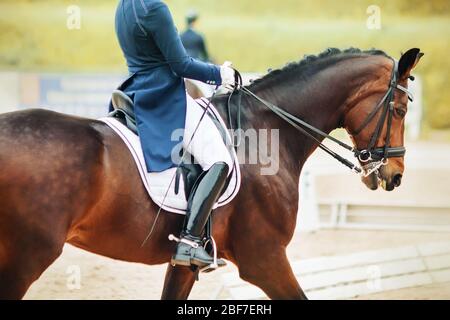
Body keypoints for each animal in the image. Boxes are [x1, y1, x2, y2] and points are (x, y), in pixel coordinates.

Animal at [0, 47, 422, 300]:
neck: (266, 129)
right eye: (400, 110)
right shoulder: (264, 258)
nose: (396, 175)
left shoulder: (184, 265)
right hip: (28, 255)